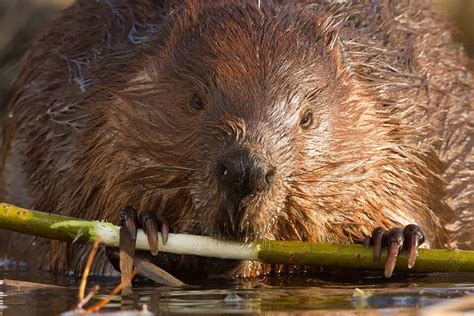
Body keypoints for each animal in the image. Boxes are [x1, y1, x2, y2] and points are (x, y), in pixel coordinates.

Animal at [0, 0, 472, 276]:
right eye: (195, 99)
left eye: (307, 117)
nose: (246, 169)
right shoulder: (75, 115)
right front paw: (140, 226)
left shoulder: (409, 126)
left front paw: (396, 239)